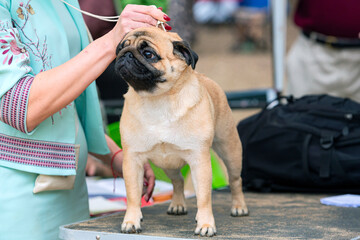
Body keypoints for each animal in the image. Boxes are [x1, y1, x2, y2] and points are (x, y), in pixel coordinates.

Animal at [115, 26, 248, 236]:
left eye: (149, 54)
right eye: (121, 47)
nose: (126, 54)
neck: (158, 99)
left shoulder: (200, 161)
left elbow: (204, 197)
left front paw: (205, 224)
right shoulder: (132, 161)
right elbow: (133, 195)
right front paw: (131, 221)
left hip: (230, 150)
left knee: (235, 180)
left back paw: (239, 207)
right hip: (168, 164)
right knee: (177, 182)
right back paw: (177, 205)